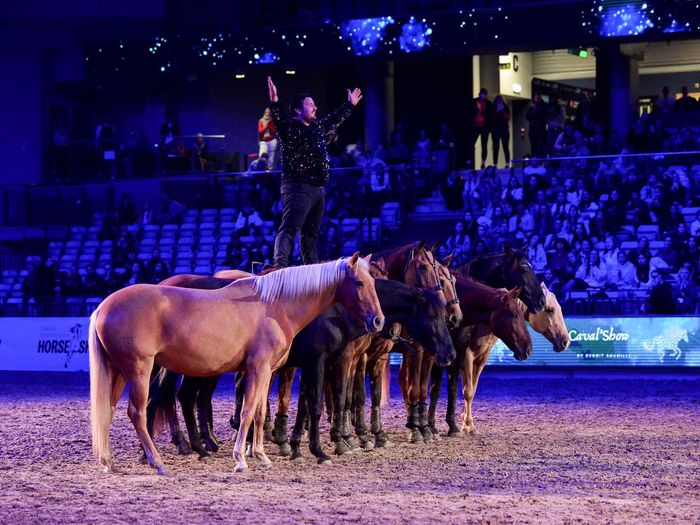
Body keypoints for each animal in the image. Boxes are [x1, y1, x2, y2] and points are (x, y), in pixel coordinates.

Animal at [89, 254, 385, 474]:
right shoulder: (259, 370)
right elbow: (247, 412)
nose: (378, 321)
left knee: (109, 410)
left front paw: (261, 455)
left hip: (118, 372)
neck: (274, 304)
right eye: (359, 282)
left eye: (373, 282)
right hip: (138, 370)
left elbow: (260, 413)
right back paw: (158, 462)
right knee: (137, 413)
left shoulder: (268, 372)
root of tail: (103, 307)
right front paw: (241, 459)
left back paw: (108, 462)